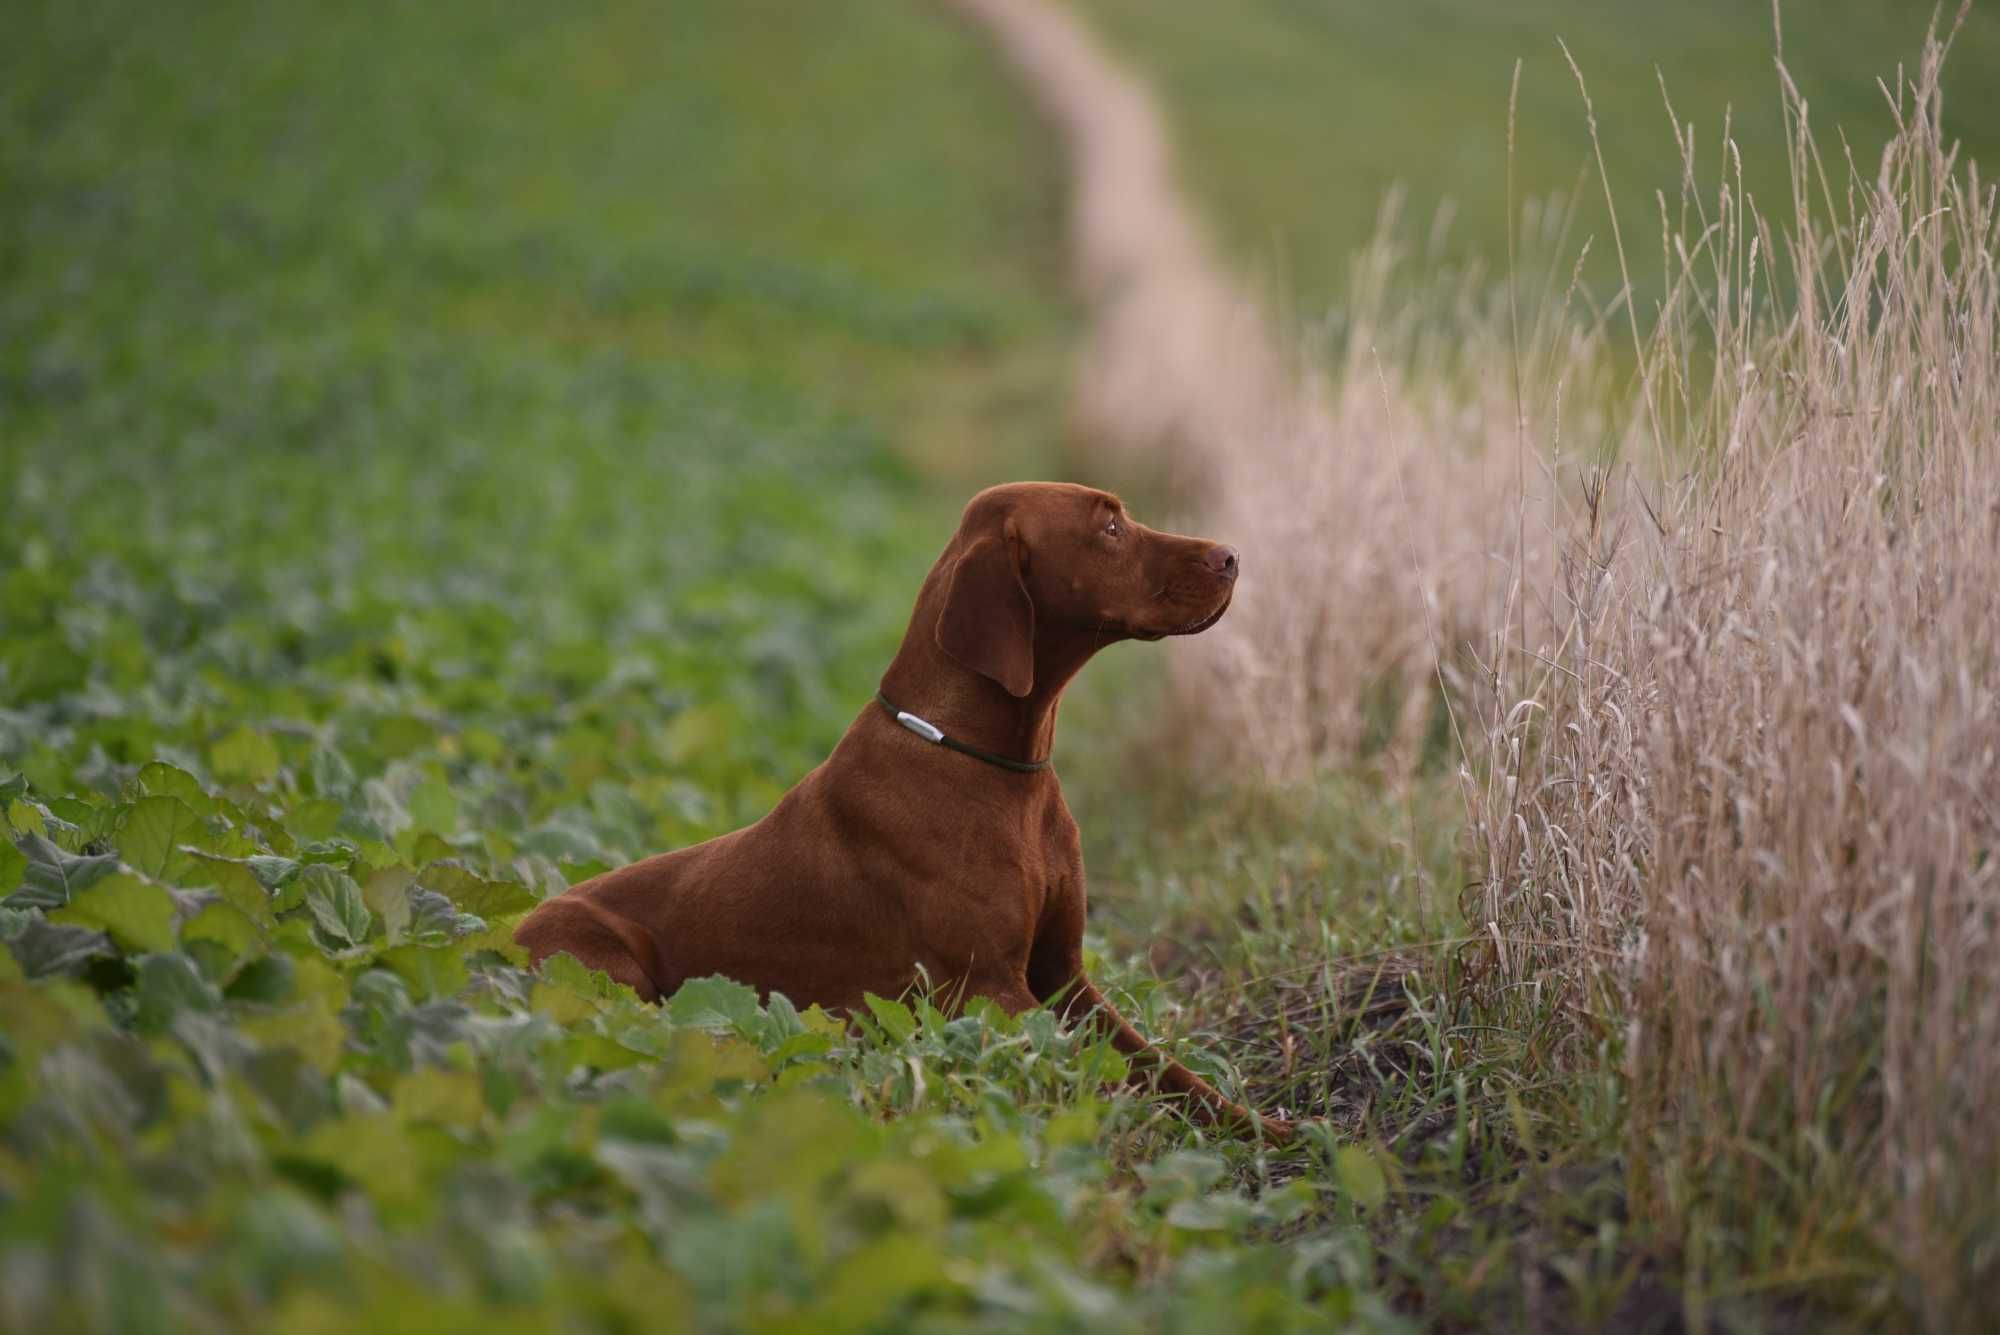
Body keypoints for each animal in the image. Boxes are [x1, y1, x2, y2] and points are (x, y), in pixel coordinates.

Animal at [520, 479, 1296, 1135]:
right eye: (1108, 526)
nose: (1231, 555)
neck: (998, 769)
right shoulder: (990, 988)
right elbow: (1102, 1084)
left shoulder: (1063, 978)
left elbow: (1165, 1068)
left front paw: (1260, 1127)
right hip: (608, 973)